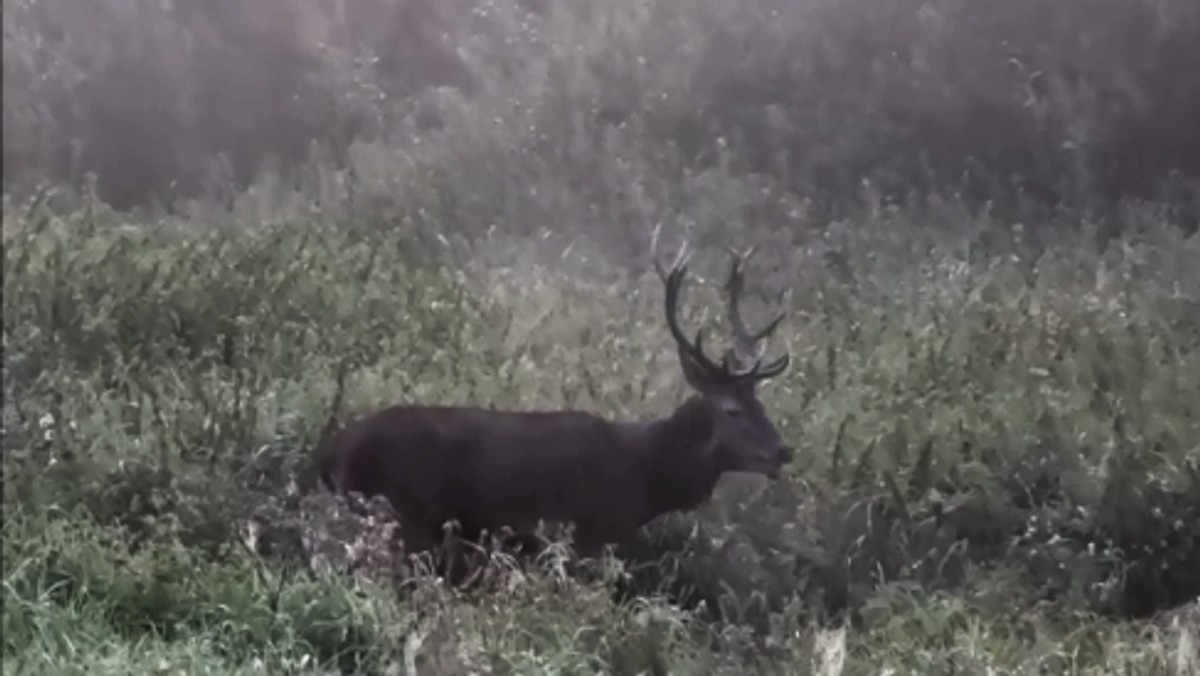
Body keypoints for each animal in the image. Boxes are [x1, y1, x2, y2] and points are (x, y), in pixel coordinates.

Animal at [314, 225, 792, 566]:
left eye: (761, 403)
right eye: (731, 409)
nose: (782, 451)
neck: (645, 477)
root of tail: (331, 452)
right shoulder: (586, 534)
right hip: (404, 515)